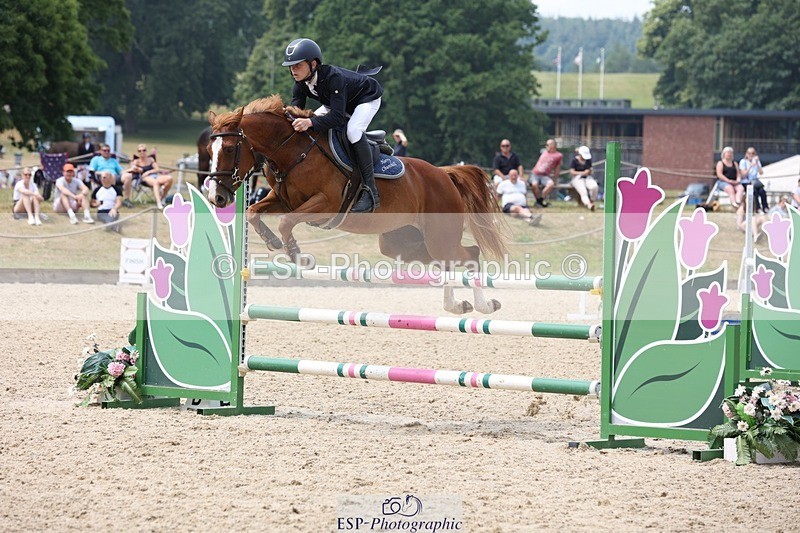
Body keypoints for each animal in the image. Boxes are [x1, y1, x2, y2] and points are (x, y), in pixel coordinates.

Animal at [206, 95, 509, 314]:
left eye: (230, 149)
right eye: (209, 150)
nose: (217, 197)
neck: (292, 150)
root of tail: (445, 174)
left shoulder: (325, 203)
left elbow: (286, 222)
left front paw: (299, 256)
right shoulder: (283, 200)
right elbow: (254, 212)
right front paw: (272, 242)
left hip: (438, 236)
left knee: (468, 255)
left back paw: (482, 305)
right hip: (401, 243)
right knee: (451, 261)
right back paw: (459, 305)